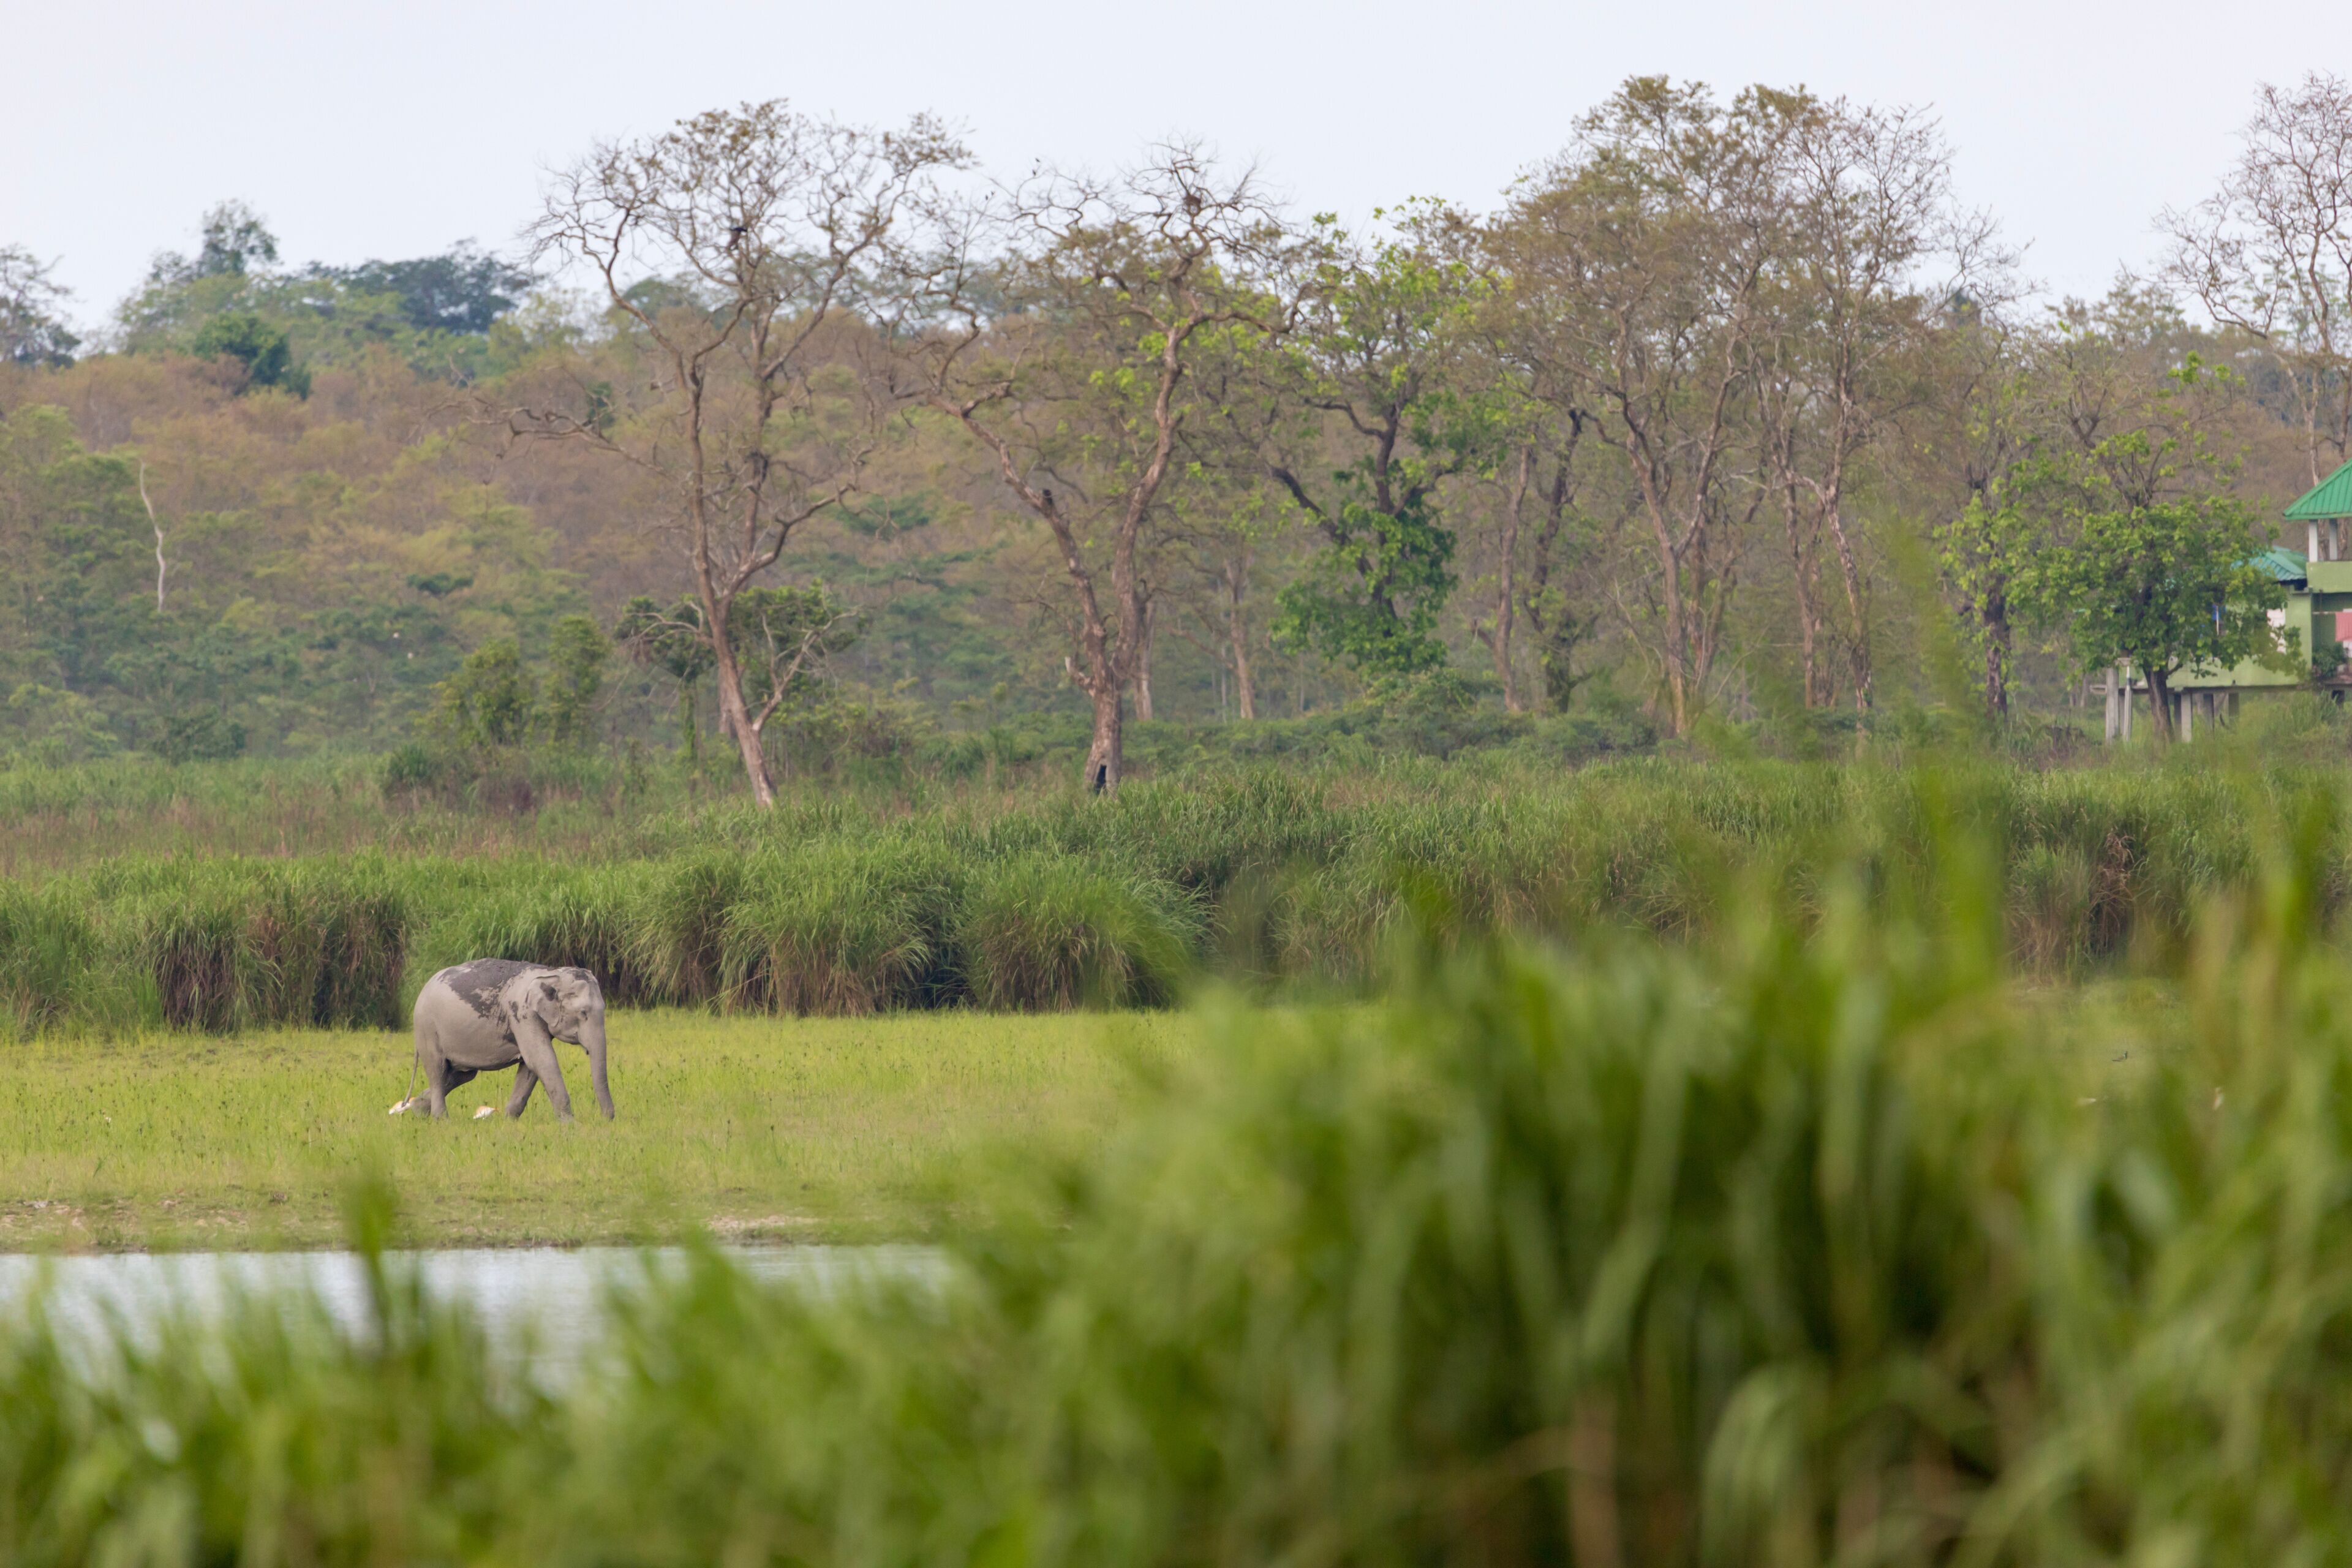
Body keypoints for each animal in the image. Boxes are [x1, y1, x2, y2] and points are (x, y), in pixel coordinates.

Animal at [392, 960, 613, 1121]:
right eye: (583, 1013)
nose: (606, 1119)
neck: (550, 972)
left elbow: (530, 1067)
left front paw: (508, 1122)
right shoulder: (522, 1014)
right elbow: (541, 1059)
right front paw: (569, 1125)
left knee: (461, 1075)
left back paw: (418, 1111)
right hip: (427, 1028)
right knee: (438, 1070)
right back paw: (442, 1121)